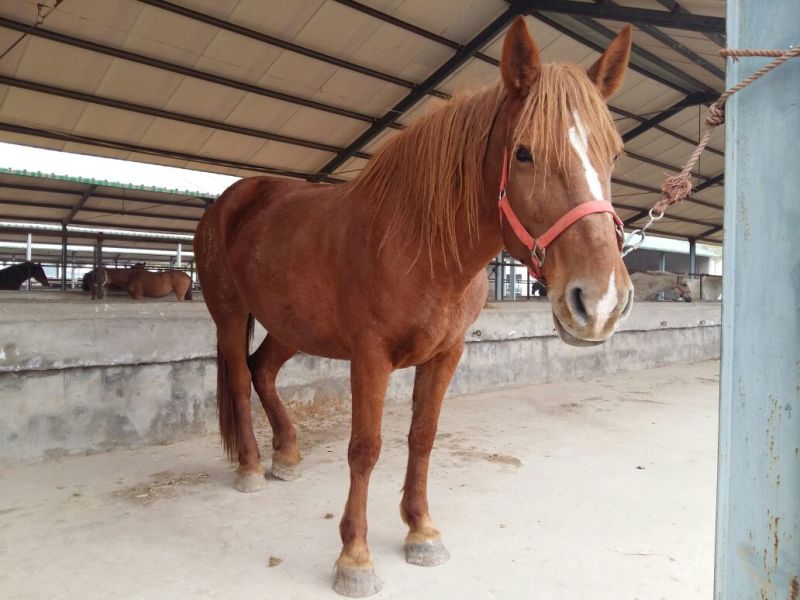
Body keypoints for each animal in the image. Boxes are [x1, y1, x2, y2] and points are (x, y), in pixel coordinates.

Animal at [195, 18, 633, 597]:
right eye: (523, 152)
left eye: (615, 154)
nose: (600, 301)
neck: (419, 241)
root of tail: (228, 200)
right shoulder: (370, 357)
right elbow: (366, 447)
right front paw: (355, 558)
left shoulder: (446, 355)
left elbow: (422, 437)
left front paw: (422, 531)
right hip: (228, 314)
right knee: (241, 379)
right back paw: (248, 468)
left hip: (290, 324)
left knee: (262, 371)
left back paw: (286, 455)